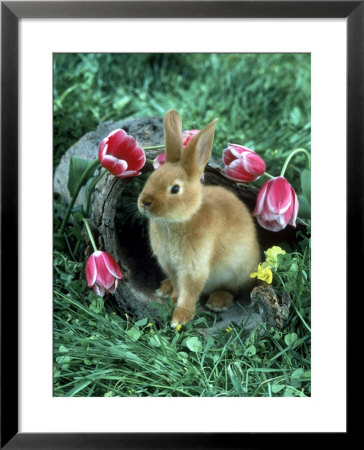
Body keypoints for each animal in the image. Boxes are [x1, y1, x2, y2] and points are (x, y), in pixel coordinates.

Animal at [138, 109, 260, 326]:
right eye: (152, 178)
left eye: (175, 189)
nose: (144, 202)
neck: (183, 218)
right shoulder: (168, 264)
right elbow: (178, 284)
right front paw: (173, 296)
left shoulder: (194, 267)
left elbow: (190, 291)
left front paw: (179, 319)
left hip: (238, 272)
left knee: (232, 289)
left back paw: (218, 302)